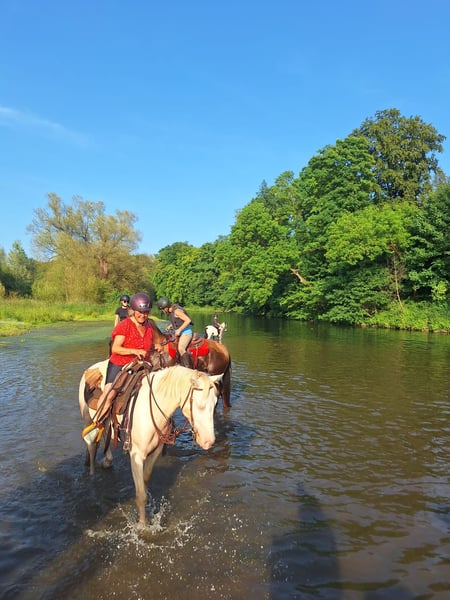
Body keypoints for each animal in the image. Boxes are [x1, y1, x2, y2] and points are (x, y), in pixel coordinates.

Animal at [79, 360, 222, 527]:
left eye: (215, 404)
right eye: (199, 405)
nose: (209, 441)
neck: (152, 406)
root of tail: (91, 369)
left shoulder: (156, 451)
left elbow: (146, 480)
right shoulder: (136, 456)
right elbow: (141, 495)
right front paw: (142, 525)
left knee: (105, 434)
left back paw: (107, 461)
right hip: (88, 419)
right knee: (92, 444)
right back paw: (92, 474)